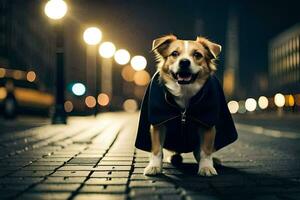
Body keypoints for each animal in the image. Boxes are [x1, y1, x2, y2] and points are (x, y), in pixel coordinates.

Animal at [135, 34, 238, 177]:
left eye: (197, 55)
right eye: (174, 53)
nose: (184, 62)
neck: (184, 92)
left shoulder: (207, 124)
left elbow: (205, 151)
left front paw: (206, 167)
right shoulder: (158, 123)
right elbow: (156, 149)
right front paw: (154, 166)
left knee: (199, 151)